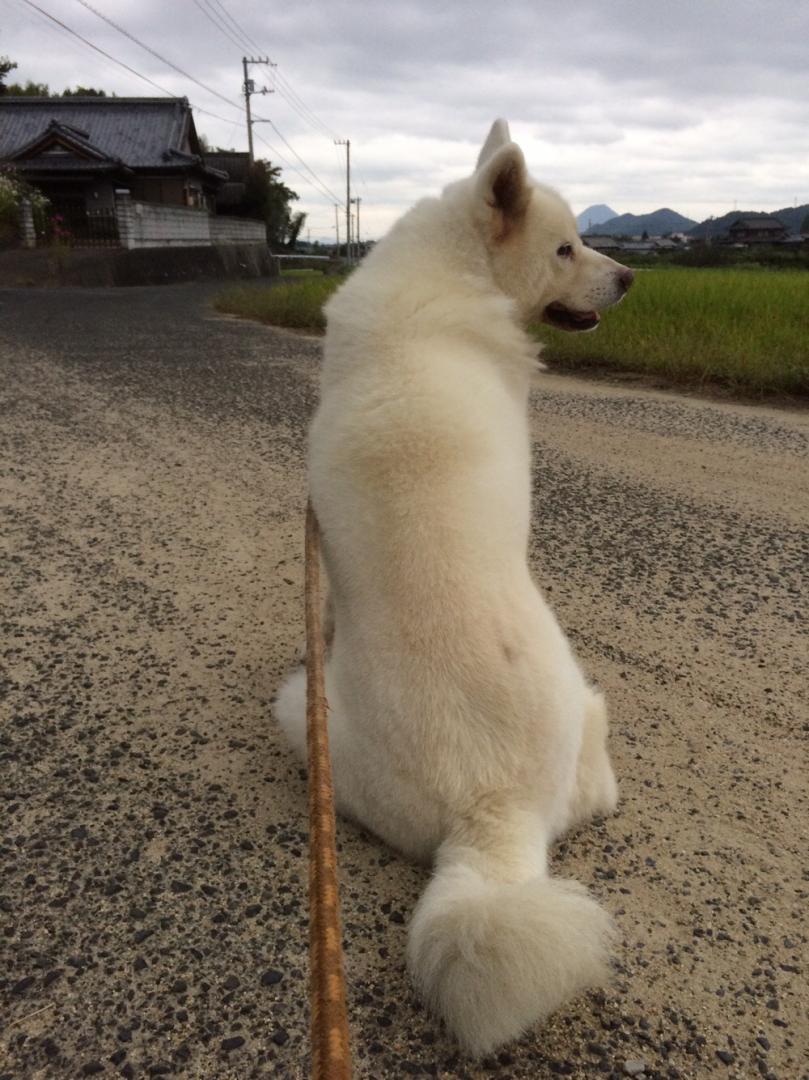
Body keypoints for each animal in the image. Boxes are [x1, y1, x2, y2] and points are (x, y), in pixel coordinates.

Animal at [274, 120, 635, 1054]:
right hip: (569, 699)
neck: (455, 268)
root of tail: (491, 807)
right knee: (601, 787)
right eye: (565, 246)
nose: (631, 277)